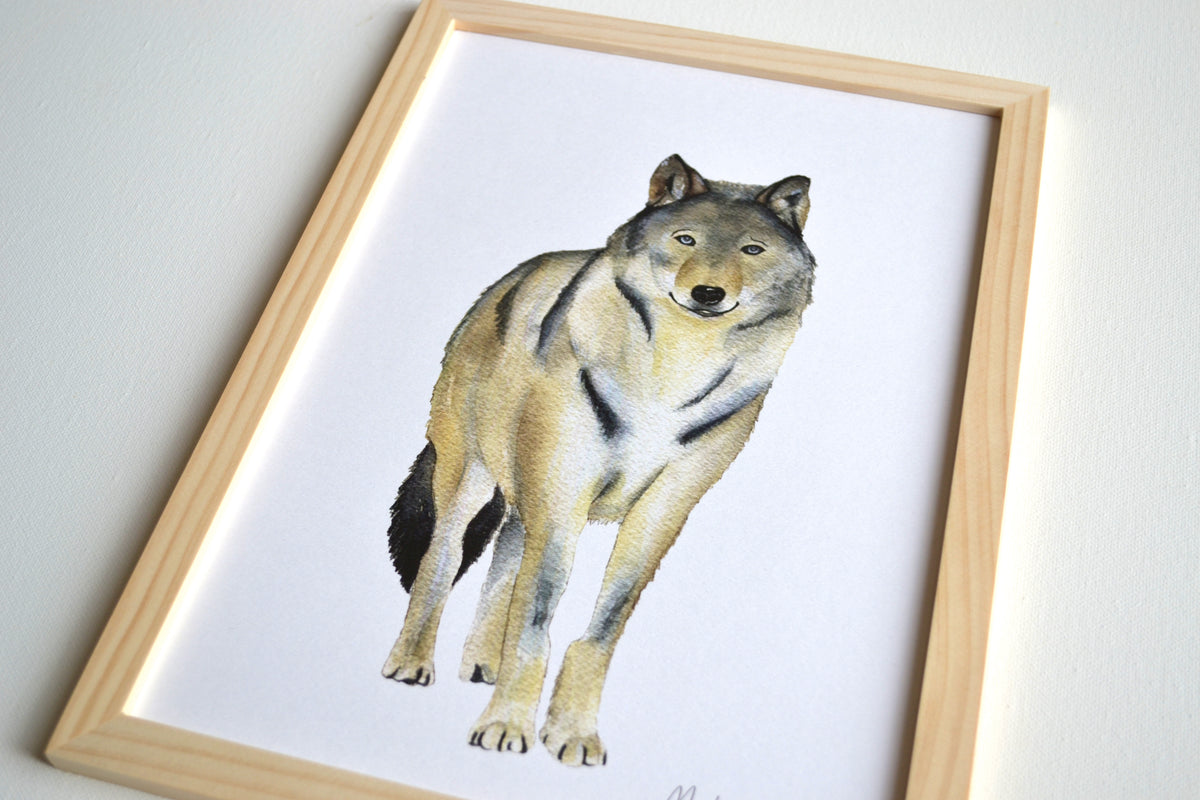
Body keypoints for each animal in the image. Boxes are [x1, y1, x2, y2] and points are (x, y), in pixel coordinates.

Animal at [382, 155, 816, 766]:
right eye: (686, 239)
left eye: (752, 250)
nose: (708, 293)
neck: (670, 376)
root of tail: (512, 278)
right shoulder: (562, 500)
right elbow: (534, 623)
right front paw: (506, 726)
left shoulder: (660, 513)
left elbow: (600, 630)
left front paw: (572, 733)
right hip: (470, 481)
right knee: (440, 562)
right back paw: (411, 662)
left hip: (524, 506)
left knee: (503, 564)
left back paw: (482, 665)